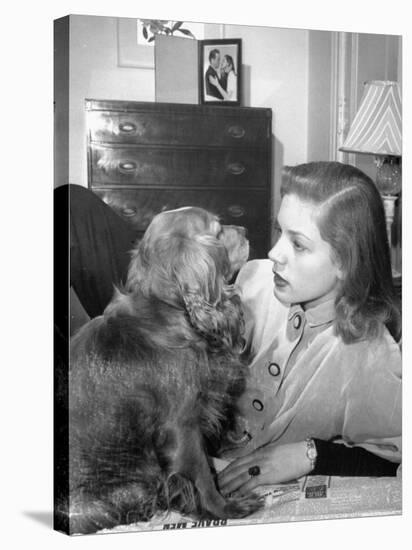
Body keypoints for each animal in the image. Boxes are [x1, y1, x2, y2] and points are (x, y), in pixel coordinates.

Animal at [61, 207, 260, 536]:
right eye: (218, 231)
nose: (246, 230)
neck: (168, 309)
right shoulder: (182, 427)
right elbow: (203, 476)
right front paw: (224, 509)